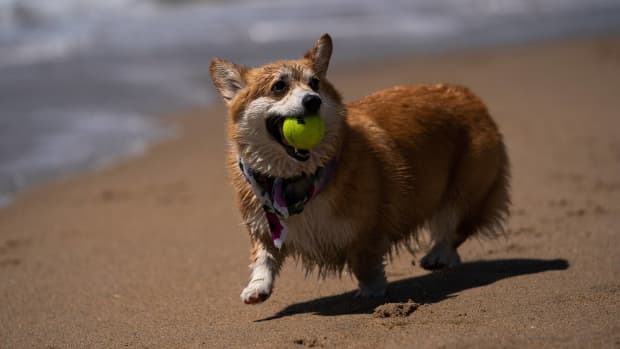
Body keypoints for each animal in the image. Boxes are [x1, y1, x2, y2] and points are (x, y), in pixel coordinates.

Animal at [208, 34, 508, 304]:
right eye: (279, 86)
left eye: (315, 83)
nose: (313, 101)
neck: (294, 179)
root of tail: (467, 95)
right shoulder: (263, 225)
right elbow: (264, 259)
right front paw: (257, 288)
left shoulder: (369, 226)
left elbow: (366, 261)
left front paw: (371, 289)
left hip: (466, 191)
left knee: (453, 225)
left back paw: (440, 255)